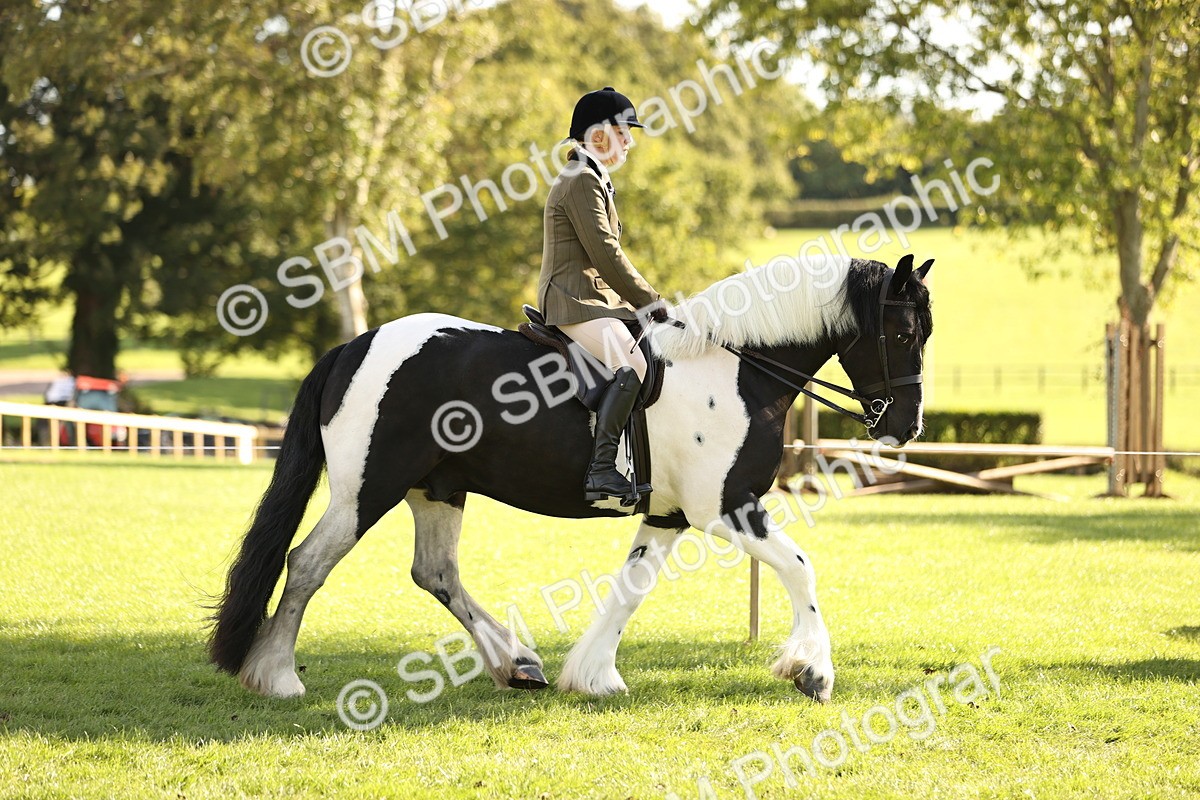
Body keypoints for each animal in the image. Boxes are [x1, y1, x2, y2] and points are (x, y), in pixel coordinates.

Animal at [208, 253, 933, 703]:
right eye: (902, 332)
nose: (907, 427)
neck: (736, 367)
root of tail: (356, 346)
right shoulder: (724, 506)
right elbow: (801, 567)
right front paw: (813, 672)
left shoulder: (669, 514)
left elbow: (631, 589)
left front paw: (593, 675)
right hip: (367, 489)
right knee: (307, 562)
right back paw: (276, 676)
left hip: (437, 487)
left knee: (435, 573)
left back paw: (517, 663)